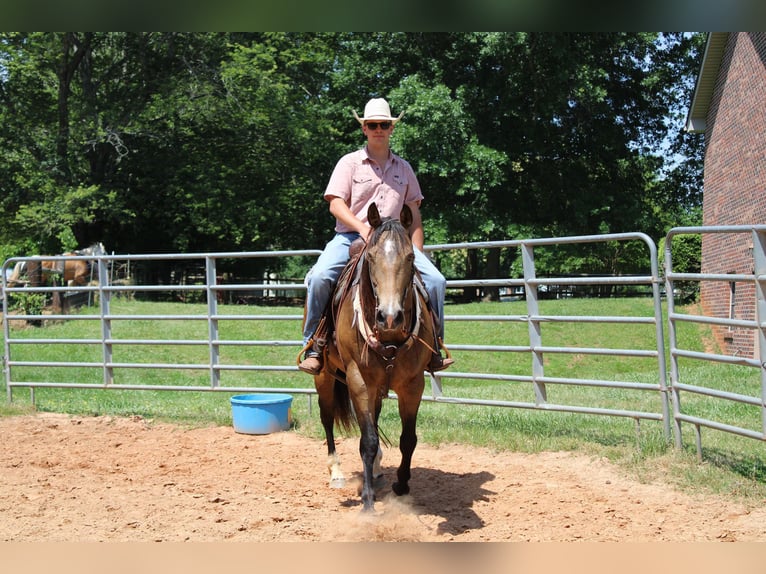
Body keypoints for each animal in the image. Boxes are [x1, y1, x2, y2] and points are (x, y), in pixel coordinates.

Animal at [308, 204, 436, 512]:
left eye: (411, 256)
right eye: (371, 256)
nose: (389, 316)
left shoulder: (413, 385)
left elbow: (407, 439)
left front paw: (401, 486)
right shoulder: (359, 381)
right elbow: (367, 441)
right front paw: (367, 503)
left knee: (375, 421)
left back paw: (377, 471)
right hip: (324, 377)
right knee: (327, 419)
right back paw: (336, 472)